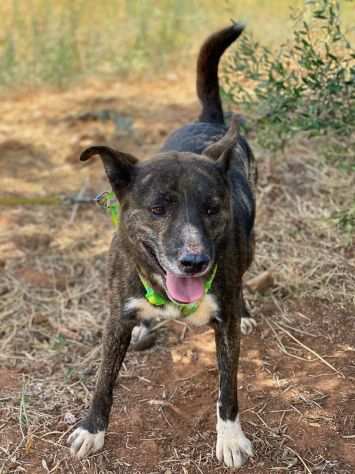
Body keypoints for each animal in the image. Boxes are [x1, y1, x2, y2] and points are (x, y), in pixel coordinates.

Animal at [69, 21, 258, 466]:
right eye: (157, 209)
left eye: (211, 208)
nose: (194, 261)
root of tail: (210, 121)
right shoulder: (115, 318)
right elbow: (103, 379)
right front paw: (92, 428)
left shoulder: (224, 326)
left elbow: (228, 387)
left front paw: (230, 438)